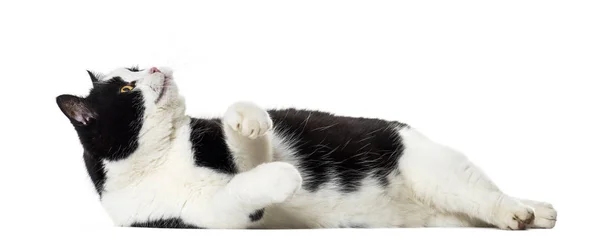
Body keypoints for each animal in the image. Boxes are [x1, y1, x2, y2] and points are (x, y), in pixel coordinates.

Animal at [56, 66, 556, 230]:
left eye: (136, 66)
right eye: (125, 88)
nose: (156, 67)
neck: (162, 158)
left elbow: (247, 144)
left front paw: (247, 116)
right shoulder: (213, 218)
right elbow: (245, 186)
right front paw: (286, 177)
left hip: (440, 173)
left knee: (490, 195)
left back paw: (528, 211)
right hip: (445, 213)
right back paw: (532, 213)